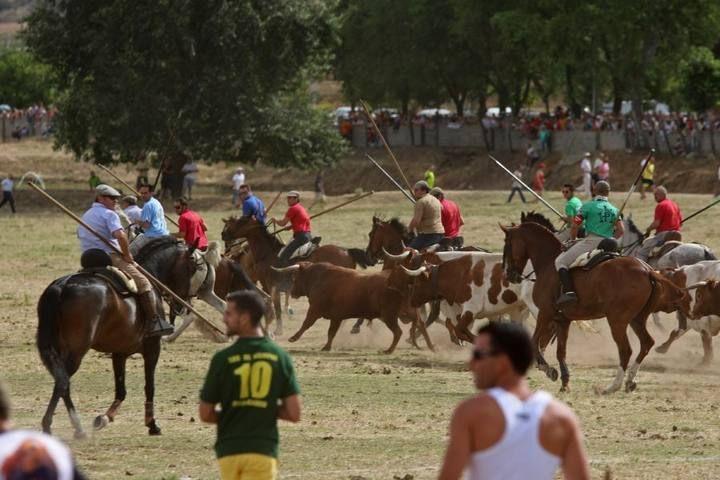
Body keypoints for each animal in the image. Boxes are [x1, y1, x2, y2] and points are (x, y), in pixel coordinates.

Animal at [36, 237, 200, 438]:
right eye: (192, 267)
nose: (183, 304)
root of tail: (62, 286)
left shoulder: (119, 352)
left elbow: (121, 390)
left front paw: (105, 418)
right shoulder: (152, 349)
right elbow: (149, 386)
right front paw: (152, 424)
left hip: (61, 349)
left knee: (63, 382)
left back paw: (78, 428)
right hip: (76, 350)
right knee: (62, 382)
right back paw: (50, 425)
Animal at [221, 216, 368, 336]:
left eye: (240, 221)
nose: (223, 234)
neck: (267, 254)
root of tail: (346, 251)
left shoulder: (272, 287)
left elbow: (277, 308)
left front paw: (277, 330)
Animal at [274, 260, 434, 354]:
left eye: (295, 277)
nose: (293, 292)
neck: (319, 278)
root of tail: (404, 281)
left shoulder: (315, 310)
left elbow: (306, 323)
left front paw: (293, 338)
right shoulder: (336, 317)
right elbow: (331, 332)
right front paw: (327, 347)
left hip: (389, 316)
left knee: (398, 332)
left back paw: (389, 350)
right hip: (406, 312)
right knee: (421, 325)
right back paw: (430, 346)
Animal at [500, 221, 688, 394]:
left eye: (507, 244)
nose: (509, 275)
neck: (548, 263)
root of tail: (647, 270)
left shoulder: (545, 313)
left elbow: (534, 342)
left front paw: (549, 370)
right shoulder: (563, 320)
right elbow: (561, 351)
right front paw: (565, 383)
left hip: (617, 321)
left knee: (625, 350)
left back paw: (613, 386)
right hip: (637, 319)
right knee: (646, 343)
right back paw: (629, 381)